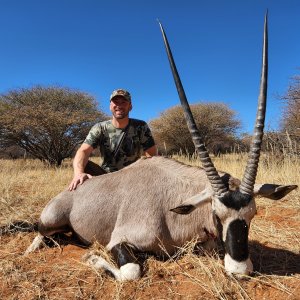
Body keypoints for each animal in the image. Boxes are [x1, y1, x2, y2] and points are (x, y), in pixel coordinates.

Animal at [26, 14, 298, 282]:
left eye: (253, 214)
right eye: (216, 215)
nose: (240, 270)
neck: (171, 207)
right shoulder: (120, 241)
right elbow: (131, 272)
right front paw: (92, 258)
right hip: (51, 220)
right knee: (42, 233)